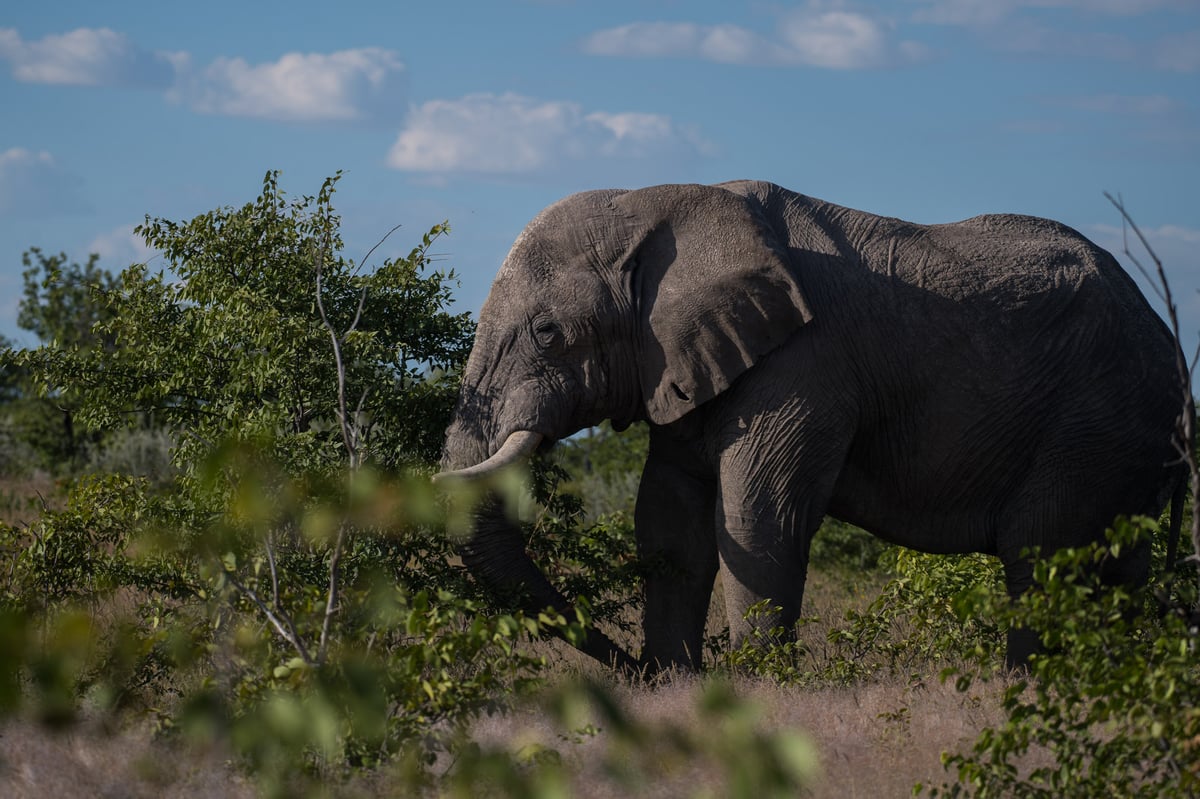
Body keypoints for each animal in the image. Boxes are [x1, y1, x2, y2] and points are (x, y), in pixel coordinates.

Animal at [436, 179, 1185, 671]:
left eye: (547, 332)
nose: (630, 669)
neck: (664, 200)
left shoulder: (805, 364)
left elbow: (758, 517)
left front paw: (760, 690)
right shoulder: (684, 361)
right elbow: (669, 522)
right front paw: (680, 686)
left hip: (1094, 421)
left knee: (1041, 555)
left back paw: (1029, 685)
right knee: (1119, 570)